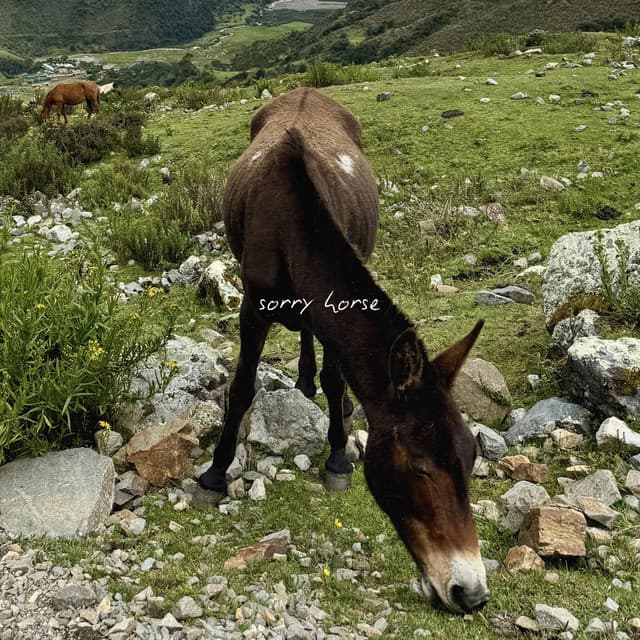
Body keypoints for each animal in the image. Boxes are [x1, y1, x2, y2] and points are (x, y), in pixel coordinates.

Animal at [197, 87, 489, 613]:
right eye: (419, 468)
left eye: (471, 457)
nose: (471, 593)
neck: (293, 221)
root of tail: (305, 91)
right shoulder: (252, 308)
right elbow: (243, 385)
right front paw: (214, 473)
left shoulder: (332, 308)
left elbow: (336, 378)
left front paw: (337, 456)